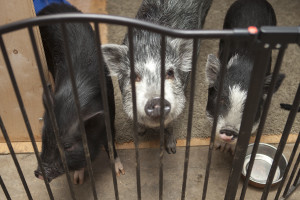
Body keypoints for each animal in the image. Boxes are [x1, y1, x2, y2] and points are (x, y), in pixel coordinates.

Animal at [34, 3, 125, 184]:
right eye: (44, 137)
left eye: (68, 146)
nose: (37, 173)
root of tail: (50, 6)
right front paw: (78, 180)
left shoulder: (110, 114)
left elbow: (110, 144)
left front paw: (119, 172)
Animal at [102, 0, 212, 154]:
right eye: (134, 76)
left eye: (170, 73)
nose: (156, 101)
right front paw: (140, 132)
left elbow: (171, 124)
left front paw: (172, 150)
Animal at [205, 0, 284, 153]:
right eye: (221, 100)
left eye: (250, 108)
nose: (229, 130)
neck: (243, 67)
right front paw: (219, 147)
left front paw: (230, 150)